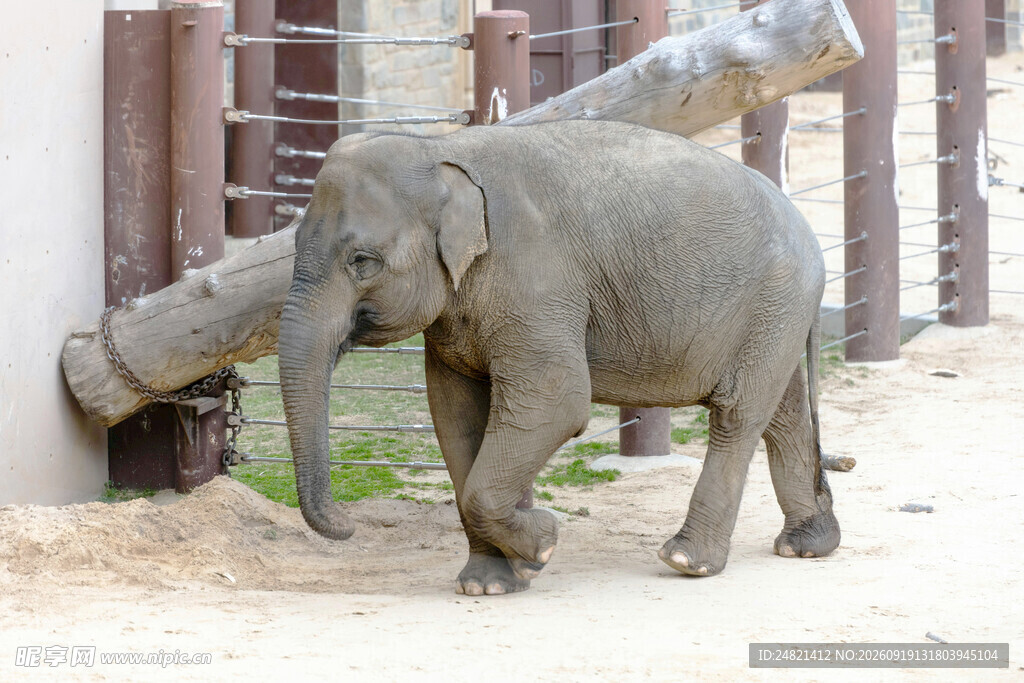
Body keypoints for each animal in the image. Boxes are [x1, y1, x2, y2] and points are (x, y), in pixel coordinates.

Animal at [277, 119, 841, 595]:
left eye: (362, 261)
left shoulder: (535, 280)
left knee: (737, 415)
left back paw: (687, 561)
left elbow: (558, 401)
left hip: (775, 301)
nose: (350, 524)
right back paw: (807, 546)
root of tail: (806, 226)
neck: (440, 147)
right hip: (774, 316)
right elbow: (455, 417)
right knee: (783, 414)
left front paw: (542, 545)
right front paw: (490, 583)